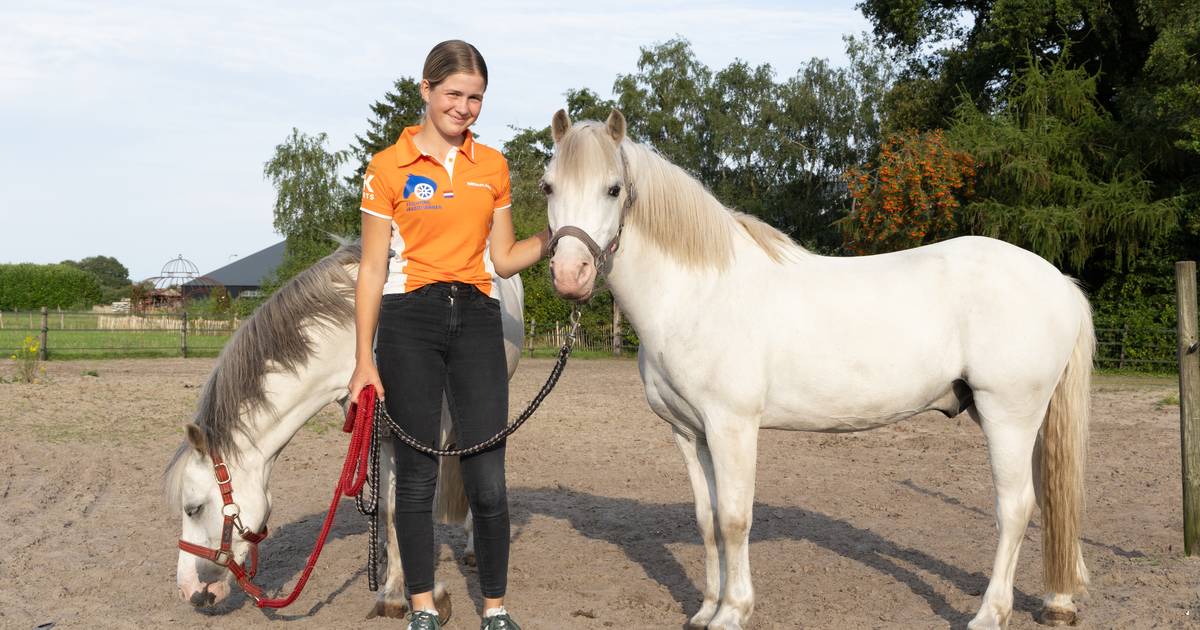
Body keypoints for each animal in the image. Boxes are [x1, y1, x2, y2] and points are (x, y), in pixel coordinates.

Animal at [163, 241, 525, 620]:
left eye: (193, 508)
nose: (189, 591)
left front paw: (409, 594)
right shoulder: (378, 430)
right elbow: (388, 508)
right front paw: (393, 583)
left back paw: (471, 547)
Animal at [543, 110, 1092, 630]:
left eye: (613, 189)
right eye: (548, 186)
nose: (571, 276)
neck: (698, 292)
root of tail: (1059, 282)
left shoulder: (732, 427)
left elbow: (734, 519)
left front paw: (732, 611)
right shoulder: (688, 432)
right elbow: (706, 519)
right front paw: (705, 609)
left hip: (1008, 415)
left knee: (1015, 507)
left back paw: (990, 614)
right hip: (1022, 418)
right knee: (1049, 498)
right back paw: (1058, 603)